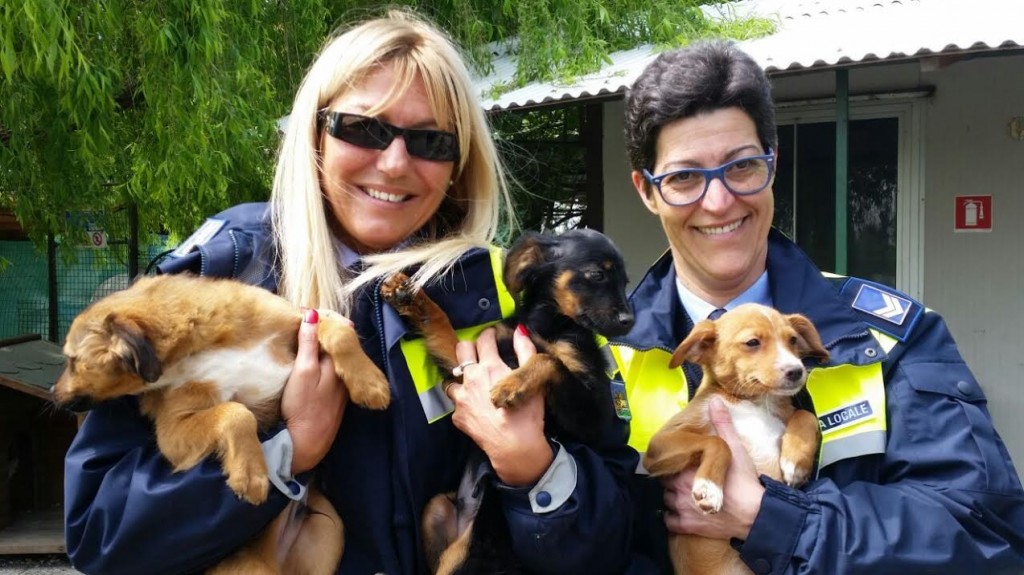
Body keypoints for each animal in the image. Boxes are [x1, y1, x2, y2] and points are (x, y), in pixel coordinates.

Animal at [50, 272, 391, 572]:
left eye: (72, 361)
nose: (52, 392)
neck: (201, 346)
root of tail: (273, 561)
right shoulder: (173, 432)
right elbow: (235, 412)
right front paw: (251, 475)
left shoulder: (301, 318)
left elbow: (339, 330)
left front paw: (370, 384)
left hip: (331, 527)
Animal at [380, 228, 630, 572]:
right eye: (597, 275)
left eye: (625, 282)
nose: (629, 321)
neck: (548, 323)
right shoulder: (467, 363)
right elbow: (442, 327)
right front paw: (408, 296)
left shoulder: (594, 412)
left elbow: (549, 360)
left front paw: (513, 384)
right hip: (436, 509)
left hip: (467, 553)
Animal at [643, 302, 827, 568]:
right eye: (752, 342)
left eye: (792, 340)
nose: (796, 371)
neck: (754, 402)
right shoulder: (659, 444)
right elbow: (719, 442)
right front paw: (709, 487)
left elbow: (806, 415)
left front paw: (796, 462)